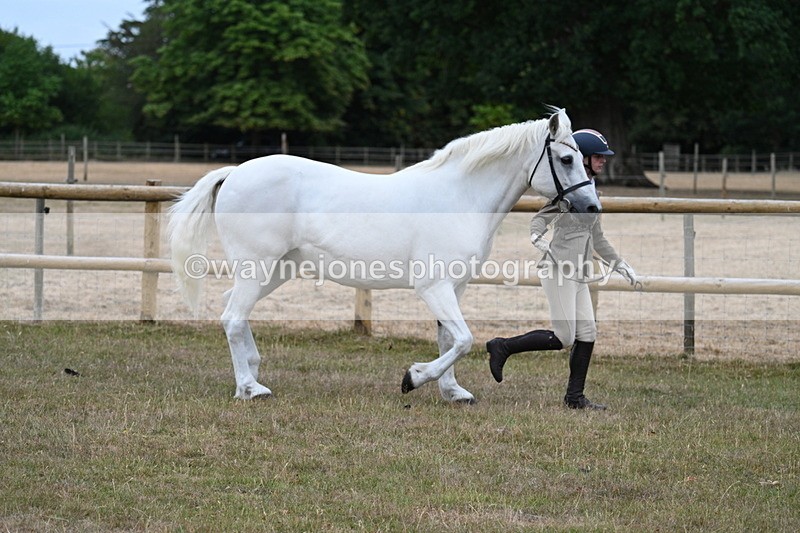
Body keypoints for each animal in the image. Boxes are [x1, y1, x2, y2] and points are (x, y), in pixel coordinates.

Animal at [168, 107, 600, 403]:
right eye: (566, 159)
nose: (592, 207)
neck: (459, 197)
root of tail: (234, 172)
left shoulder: (454, 286)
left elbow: (449, 338)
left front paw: (453, 393)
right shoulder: (433, 287)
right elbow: (463, 339)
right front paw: (414, 378)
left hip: (276, 269)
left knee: (236, 312)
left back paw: (254, 375)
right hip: (256, 266)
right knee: (232, 317)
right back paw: (249, 388)